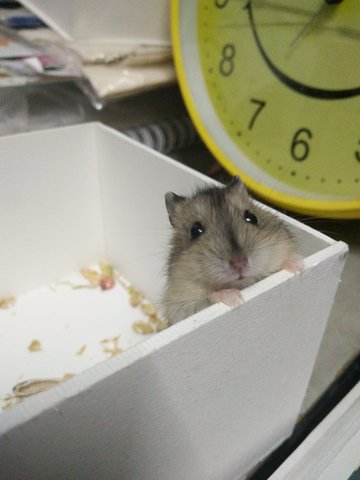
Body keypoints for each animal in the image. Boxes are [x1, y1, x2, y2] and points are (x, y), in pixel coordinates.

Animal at [162, 176, 302, 326]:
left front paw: (298, 266)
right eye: (195, 231)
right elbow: (208, 298)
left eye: (252, 217)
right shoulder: (180, 308)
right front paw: (234, 299)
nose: (239, 264)